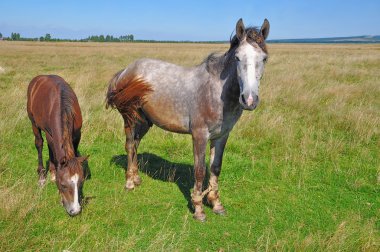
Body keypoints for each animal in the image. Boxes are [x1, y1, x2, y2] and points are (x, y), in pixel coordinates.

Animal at [26, 75, 87, 217]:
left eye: (81, 182)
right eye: (63, 185)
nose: (75, 211)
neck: (63, 108)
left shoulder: (77, 134)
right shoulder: (50, 134)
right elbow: (52, 150)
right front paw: (54, 175)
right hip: (34, 123)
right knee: (40, 144)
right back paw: (43, 176)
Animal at [105, 18, 268, 221]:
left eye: (264, 58)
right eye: (238, 57)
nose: (249, 99)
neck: (216, 91)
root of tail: (125, 71)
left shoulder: (221, 136)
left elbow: (215, 167)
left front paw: (216, 204)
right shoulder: (199, 135)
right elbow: (199, 170)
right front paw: (198, 209)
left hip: (144, 121)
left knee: (135, 145)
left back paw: (136, 178)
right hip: (130, 118)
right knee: (129, 146)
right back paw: (129, 183)